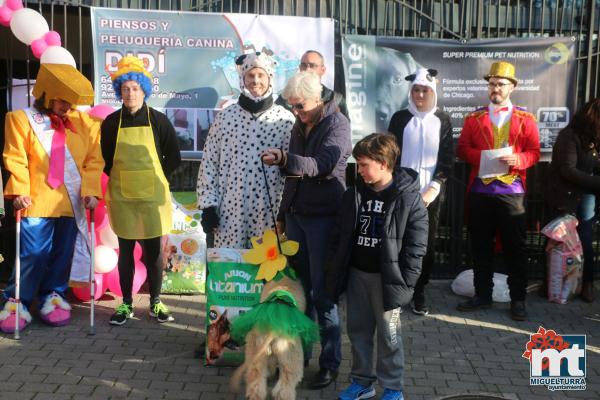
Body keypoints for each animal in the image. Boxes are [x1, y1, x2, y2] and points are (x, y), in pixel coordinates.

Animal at [230, 231, 318, 400]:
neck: (282, 274)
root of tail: (272, 328)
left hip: (256, 352)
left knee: (256, 379)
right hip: (290, 353)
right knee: (286, 382)